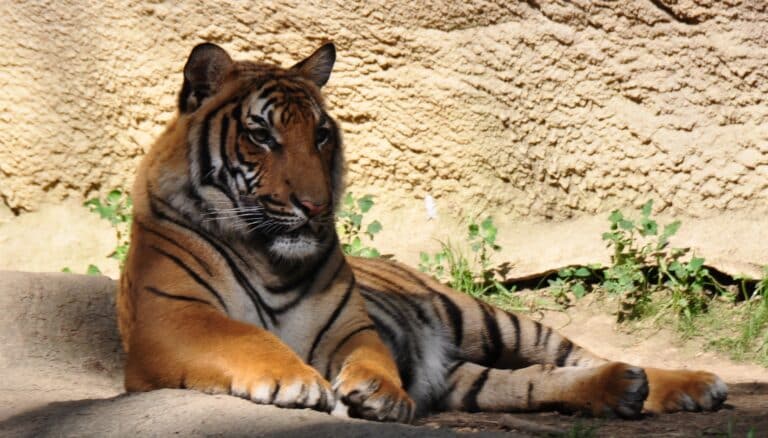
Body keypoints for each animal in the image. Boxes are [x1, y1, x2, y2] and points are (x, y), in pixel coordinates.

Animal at [117, 41, 728, 423]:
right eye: (261, 135)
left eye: (320, 135)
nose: (315, 206)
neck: (271, 258)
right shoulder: (170, 316)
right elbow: (245, 335)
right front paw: (297, 380)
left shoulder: (350, 327)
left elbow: (372, 357)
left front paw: (382, 393)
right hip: (468, 375)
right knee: (535, 381)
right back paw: (623, 389)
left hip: (490, 319)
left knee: (575, 355)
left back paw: (686, 385)